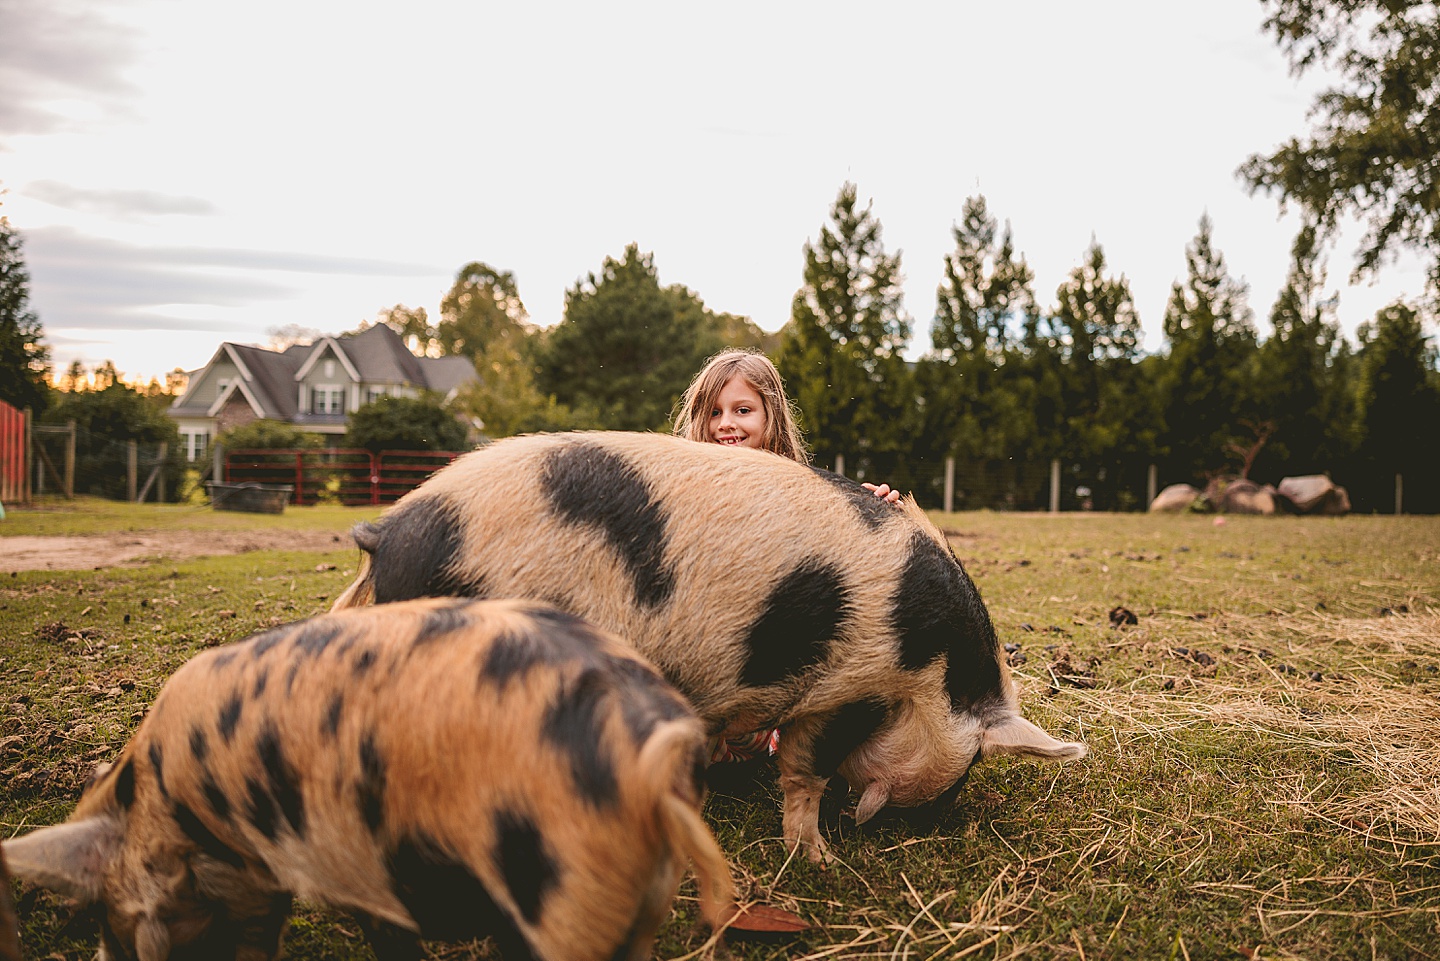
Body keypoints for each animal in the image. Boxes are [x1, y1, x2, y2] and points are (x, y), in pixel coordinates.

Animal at [331, 432, 1082, 858]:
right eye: (972, 761)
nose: (935, 819)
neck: (926, 665)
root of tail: (388, 532)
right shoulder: (845, 681)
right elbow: (807, 771)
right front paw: (820, 859)